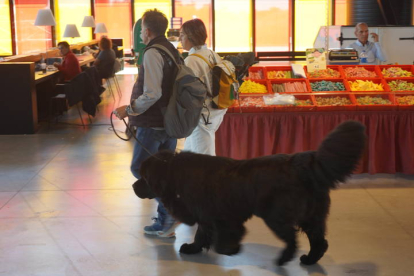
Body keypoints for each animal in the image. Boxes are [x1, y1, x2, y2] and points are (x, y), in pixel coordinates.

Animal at [133, 120, 366, 266]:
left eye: (144, 177)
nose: (134, 187)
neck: (174, 173)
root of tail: (302, 164)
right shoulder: (206, 214)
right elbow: (202, 234)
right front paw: (193, 248)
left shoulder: (223, 216)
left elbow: (223, 235)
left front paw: (230, 249)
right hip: (312, 215)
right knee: (319, 241)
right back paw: (309, 260)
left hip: (276, 216)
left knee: (292, 239)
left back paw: (283, 259)